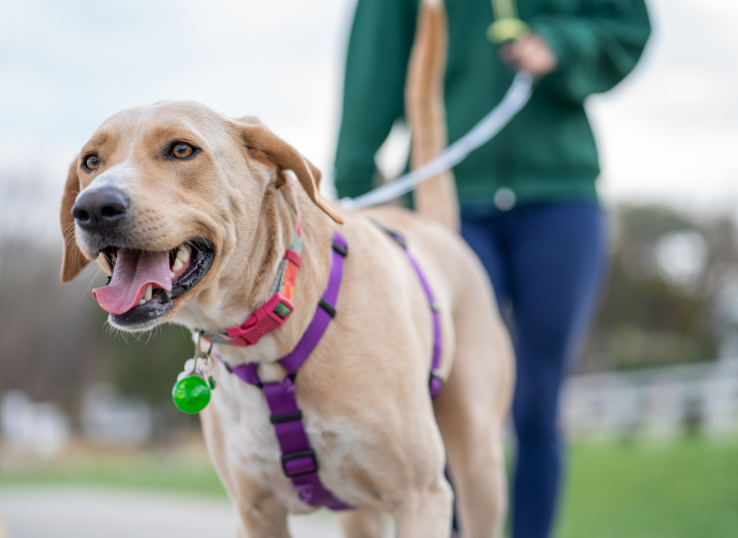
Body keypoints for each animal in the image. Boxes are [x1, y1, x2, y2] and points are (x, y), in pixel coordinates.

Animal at [59, 2, 512, 532]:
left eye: (181, 149)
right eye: (91, 161)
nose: (92, 208)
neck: (269, 332)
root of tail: (435, 229)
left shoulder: (422, 498)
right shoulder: (256, 512)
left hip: (478, 470)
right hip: (362, 512)